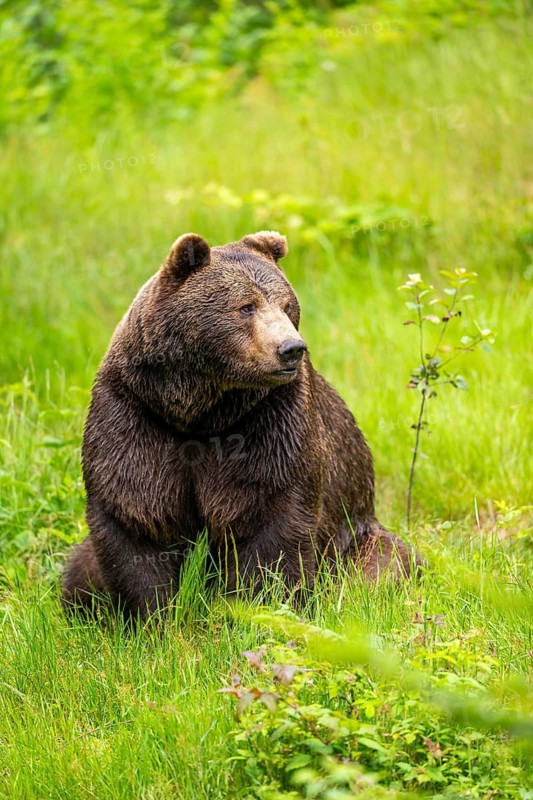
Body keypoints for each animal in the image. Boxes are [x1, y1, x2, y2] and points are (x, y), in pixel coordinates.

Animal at [63, 231, 418, 621]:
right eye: (246, 306)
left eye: (286, 305)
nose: (291, 348)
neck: (201, 410)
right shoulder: (136, 414)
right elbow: (136, 515)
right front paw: (152, 617)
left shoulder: (269, 421)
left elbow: (272, 518)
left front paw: (258, 606)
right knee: (79, 570)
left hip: (355, 536)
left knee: (383, 567)